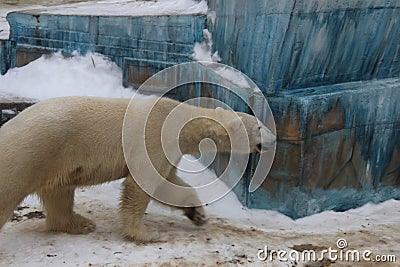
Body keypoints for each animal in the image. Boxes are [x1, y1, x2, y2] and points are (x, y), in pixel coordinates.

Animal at [0, 96, 276, 243]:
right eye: (259, 127)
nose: (274, 139)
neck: (178, 120)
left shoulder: (169, 150)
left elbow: (168, 184)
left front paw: (197, 215)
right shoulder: (153, 136)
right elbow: (141, 183)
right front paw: (144, 233)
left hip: (53, 160)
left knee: (59, 193)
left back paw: (81, 224)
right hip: (29, 155)